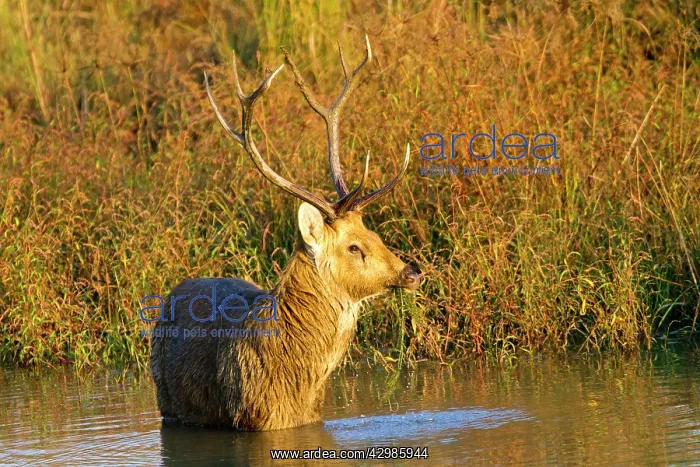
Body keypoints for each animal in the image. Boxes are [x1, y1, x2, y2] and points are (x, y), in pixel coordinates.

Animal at [150, 36, 421, 431]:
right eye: (354, 247)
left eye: (376, 235)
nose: (412, 271)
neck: (293, 385)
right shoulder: (256, 420)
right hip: (166, 401)